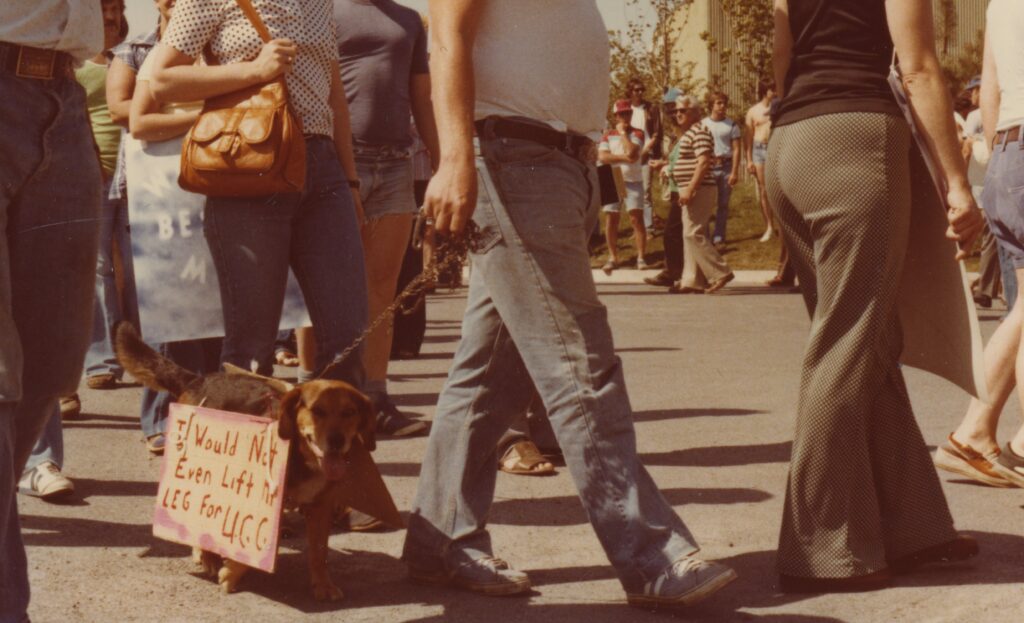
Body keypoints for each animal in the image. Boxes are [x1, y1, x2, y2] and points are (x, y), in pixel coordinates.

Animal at [114, 321, 376, 598]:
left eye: (350, 412)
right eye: (317, 411)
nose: (337, 441)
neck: (302, 457)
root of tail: (198, 379)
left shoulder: (320, 506)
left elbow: (319, 551)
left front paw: (323, 584)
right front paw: (232, 573)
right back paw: (207, 556)